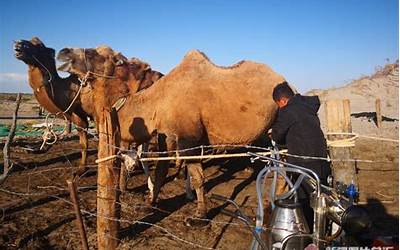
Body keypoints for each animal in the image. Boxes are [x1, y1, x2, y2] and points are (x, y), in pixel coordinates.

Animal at [57, 47, 286, 225]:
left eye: (93, 52)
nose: (62, 53)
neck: (158, 99)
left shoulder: (188, 137)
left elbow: (198, 178)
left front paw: (199, 216)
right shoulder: (166, 134)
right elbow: (161, 169)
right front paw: (151, 202)